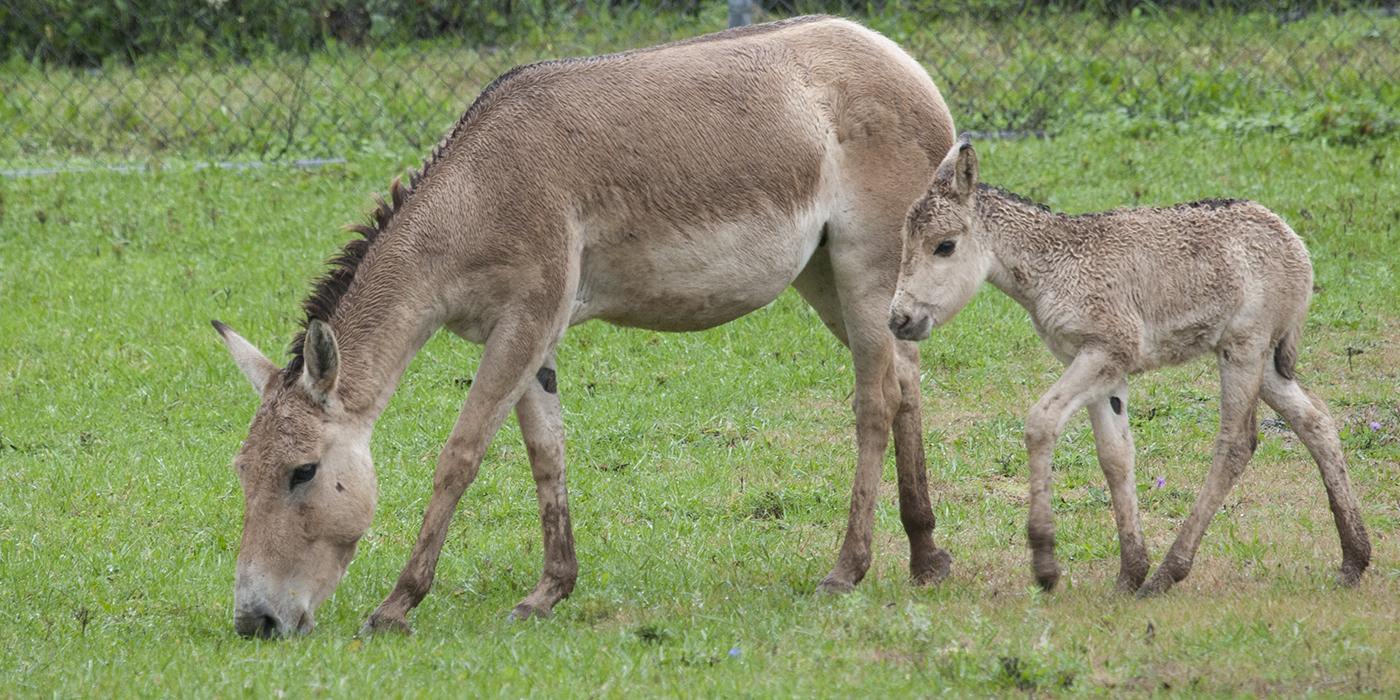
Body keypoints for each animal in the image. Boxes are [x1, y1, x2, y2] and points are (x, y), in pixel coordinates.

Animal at [215, 17, 963, 641]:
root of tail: (905, 64)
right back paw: (925, 556)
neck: (477, 194)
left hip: (865, 265)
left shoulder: (525, 322)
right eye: (243, 471)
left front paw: (398, 605)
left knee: (875, 399)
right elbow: (546, 451)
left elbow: (461, 454)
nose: (255, 622)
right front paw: (549, 591)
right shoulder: (528, 335)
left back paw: (847, 569)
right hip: (827, 275)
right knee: (906, 380)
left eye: (303, 472)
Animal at [896, 139, 1366, 599]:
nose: (898, 319)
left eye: (944, 245)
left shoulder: (1105, 352)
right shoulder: (1103, 370)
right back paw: (1354, 559)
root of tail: (1292, 240)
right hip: (1266, 361)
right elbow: (1115, 456)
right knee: (1317, 422)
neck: (1055, 266)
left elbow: (1040, 422)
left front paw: (1046, 565)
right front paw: (1129, 573)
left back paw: (1169, 573)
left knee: (1236, 444)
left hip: (1244, 349)